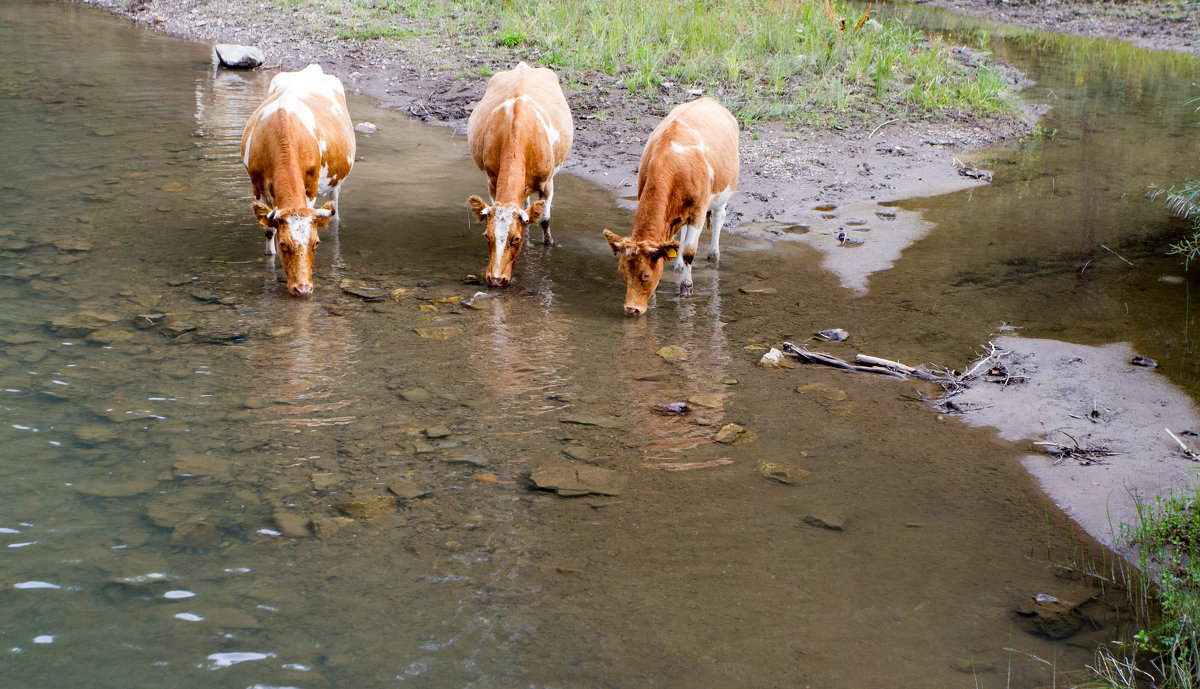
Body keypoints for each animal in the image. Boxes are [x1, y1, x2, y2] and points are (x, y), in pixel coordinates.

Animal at [240, 65, 352, 300]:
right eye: (283, 244)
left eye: (316, 243)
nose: (303, 289)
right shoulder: (257, 187)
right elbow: (268, 230)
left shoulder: (310, 190)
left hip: (336, 181)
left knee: (335, 204)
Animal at [463, 59, 571, 285]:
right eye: (487, 236)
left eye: (516, 239)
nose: (496, 279)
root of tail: (523, 66)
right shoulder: (492, 181)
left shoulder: (548, 183)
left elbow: (545, 220)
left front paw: (549, 244)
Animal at [604, 96, 734, 316]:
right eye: (621, 272)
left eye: (646, 275)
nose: (631, 309)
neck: (671, 163)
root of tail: (708, 99)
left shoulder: (698, 213)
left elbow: (689, 252)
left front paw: (686, 291)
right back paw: (679, 267)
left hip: (722, 193)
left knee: (718, 218)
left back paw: (713, 257)